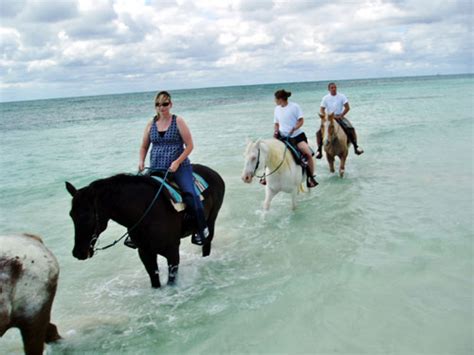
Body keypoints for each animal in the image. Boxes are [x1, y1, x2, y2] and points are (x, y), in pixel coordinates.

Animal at [65, 164, 226, 290]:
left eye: (87, 217)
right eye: (71, 215)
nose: (78, 252)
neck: (146, 213)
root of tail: (213, 173)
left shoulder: (173, 252)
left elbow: (171, 281)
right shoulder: (145, 253)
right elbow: (154, 281)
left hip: (211, 220)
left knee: (206, 244)